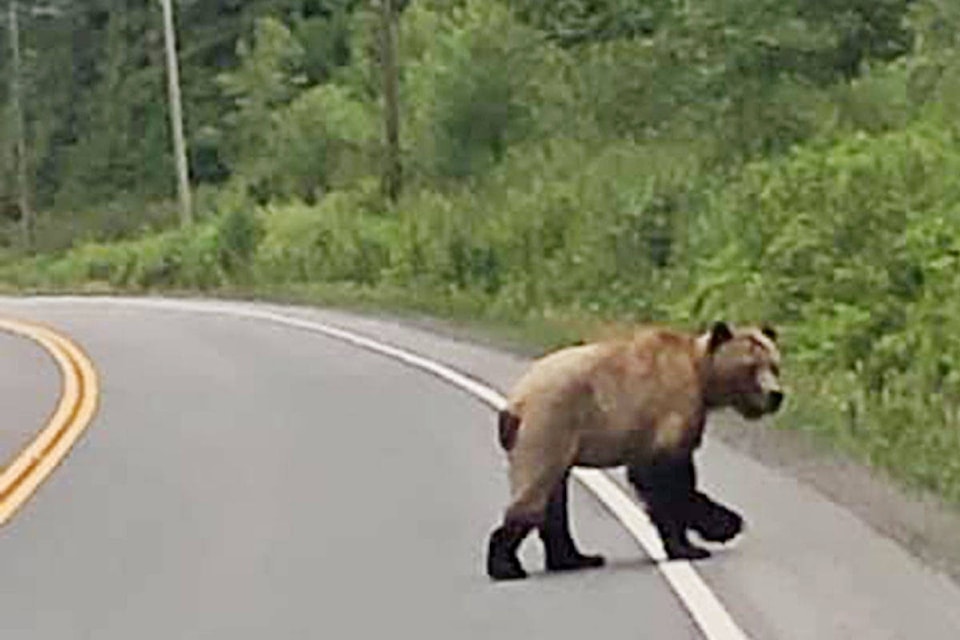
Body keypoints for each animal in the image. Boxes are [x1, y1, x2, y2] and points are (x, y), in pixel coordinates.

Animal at [484, 320, 784, 580]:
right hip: (549, 426)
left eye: (775, 365)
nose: (776, 395)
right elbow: (666, 480)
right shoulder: (669, 408)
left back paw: (576, 558)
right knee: (536, 488)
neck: (701, 375)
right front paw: (707, 537)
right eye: (751, 367)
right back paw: (506, 566)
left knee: (554, 498)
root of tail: (515, 403)